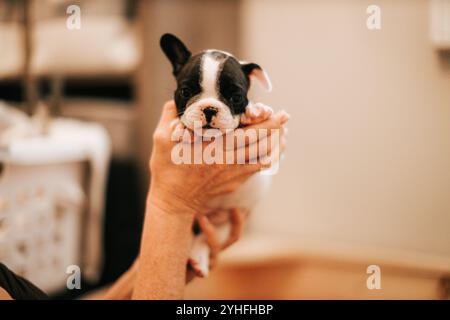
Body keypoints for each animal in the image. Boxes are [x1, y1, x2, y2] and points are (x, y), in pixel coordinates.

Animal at [162, 33, 274, 278]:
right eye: (185, 92)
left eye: (236, 97)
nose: (209, 108)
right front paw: (178, 126)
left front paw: (255, 110)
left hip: (226, 221)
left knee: (205, 236)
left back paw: (198, 258)